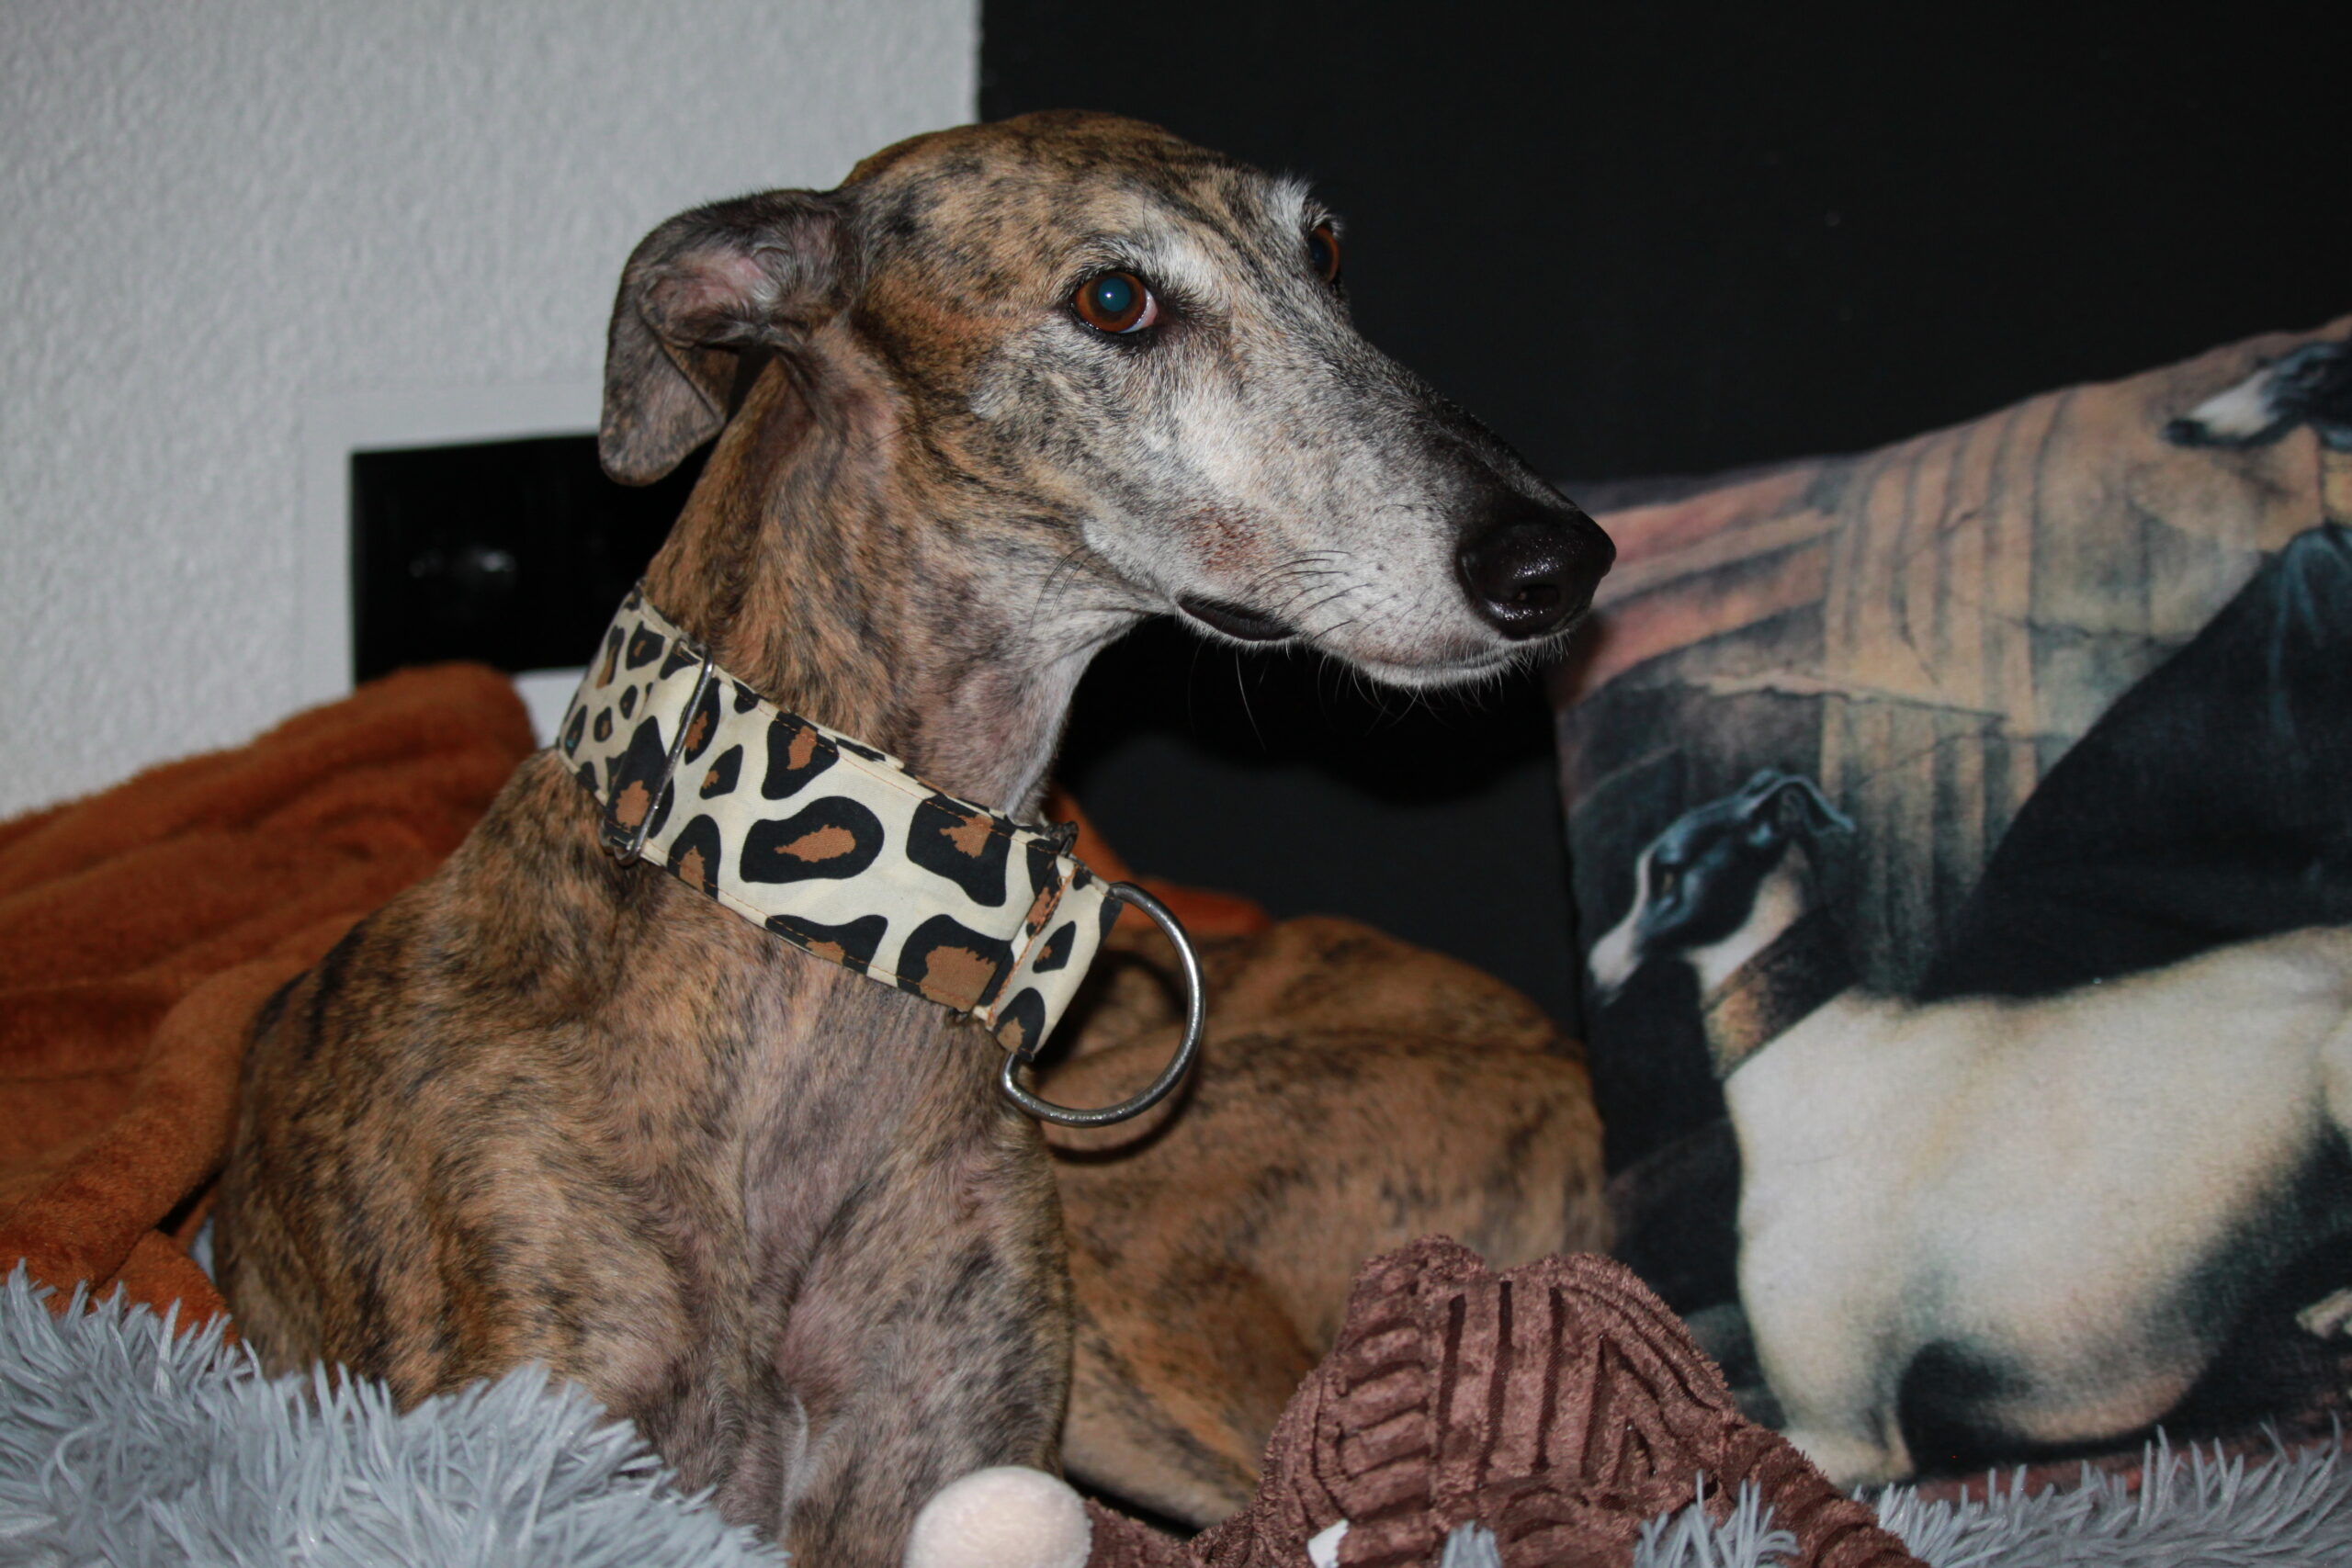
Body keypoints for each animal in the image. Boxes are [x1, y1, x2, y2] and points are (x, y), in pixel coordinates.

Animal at [215, 111, 1613, 1564]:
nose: (1559, 561)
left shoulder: (941, 1451)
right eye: (1114, 300)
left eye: (1326, 252)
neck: (834, 922)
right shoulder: (521, 1464)